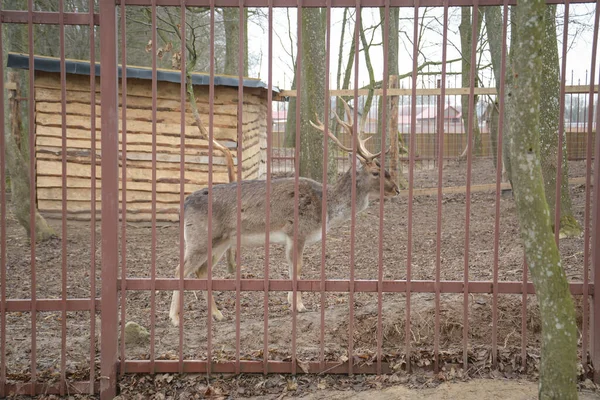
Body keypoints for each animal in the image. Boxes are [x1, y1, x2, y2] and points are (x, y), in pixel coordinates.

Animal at [169, 98, 400, 326]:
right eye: (376, 172)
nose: (397, 189)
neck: (326, 207)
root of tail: (185, 203)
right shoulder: (297, 231)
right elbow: (297, 268)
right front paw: (300, 306)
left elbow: (291, 269)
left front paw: (292, 303)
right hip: (200, 238)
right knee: (180, 269)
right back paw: (175, 317)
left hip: (222, 241)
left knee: (201, 270)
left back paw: (217, 314)